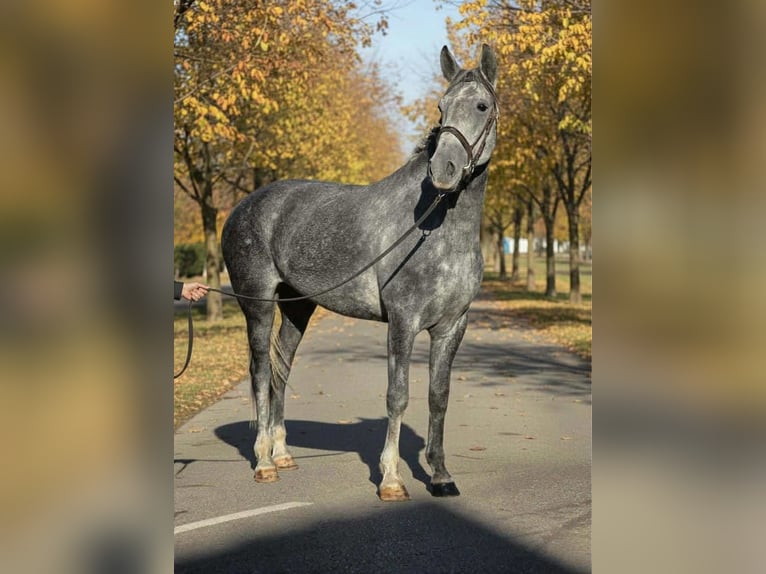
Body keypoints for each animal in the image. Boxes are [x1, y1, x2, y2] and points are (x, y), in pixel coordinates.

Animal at [221, 44, 498, 501]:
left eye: (481, 106)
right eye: (441, 107)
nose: (444, 171)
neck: (436, 225)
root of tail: (244, 207)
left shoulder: (451, 326)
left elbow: (438, 396)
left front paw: (441, 476)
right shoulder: (403, 322)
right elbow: (397, 395)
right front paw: (391, 480)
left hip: (297, 308)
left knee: (282, 370)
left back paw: (283, 454)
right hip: (257, 305)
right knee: (261, 373)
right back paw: (264, 463)